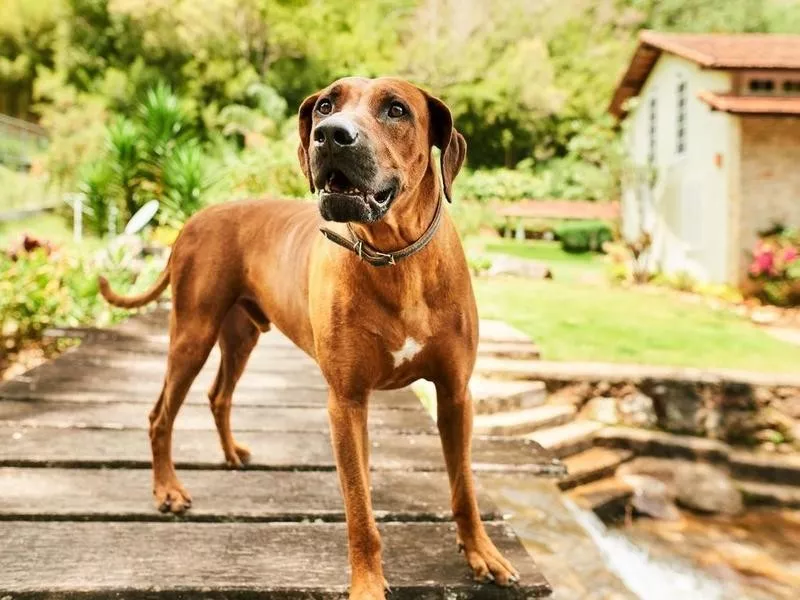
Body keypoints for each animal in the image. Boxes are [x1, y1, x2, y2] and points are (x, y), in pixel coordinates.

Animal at [98, 77, 520, 596]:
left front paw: (482, 552)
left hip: (242, 334)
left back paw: (231, 453)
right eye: (325, 105)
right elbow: (359, 508)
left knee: (219, 394)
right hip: (192, 333)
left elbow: (464, 487)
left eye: (396, 110)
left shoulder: (455, 393)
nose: (330, 134)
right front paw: (367, 583)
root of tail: (193, 219)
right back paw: (167, 490)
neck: (396, 258)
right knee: (161, 416)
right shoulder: (346, 401)